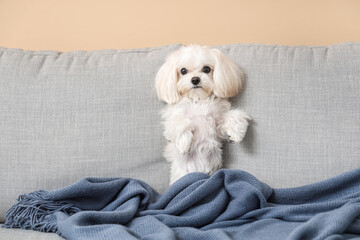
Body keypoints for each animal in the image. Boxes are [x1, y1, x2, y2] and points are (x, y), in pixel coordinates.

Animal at [155, 45, 250, 184]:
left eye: (206, 69)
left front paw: (237, 133)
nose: (195, 79)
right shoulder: (173, 120)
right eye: (183, 71)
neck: (198, 99)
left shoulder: (217, 126)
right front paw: (184, 143)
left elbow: (233, 116)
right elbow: (182, 123)